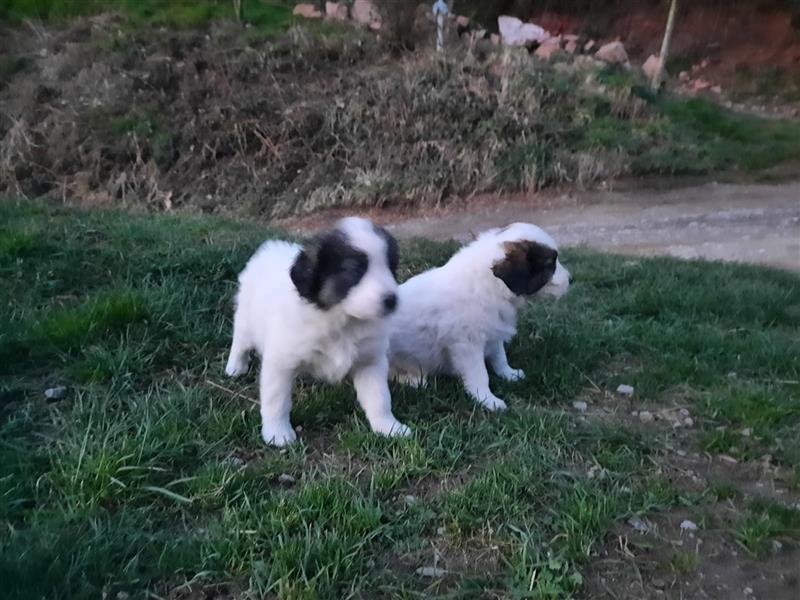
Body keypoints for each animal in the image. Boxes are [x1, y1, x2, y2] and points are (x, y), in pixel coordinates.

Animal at [227, 216, 410, 446]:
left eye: (391, 267)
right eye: (355, 270)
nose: (392, 300)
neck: (343, 321)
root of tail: (270, 248)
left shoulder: (370, 361)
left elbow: (380, 398)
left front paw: (389, 427)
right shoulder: (280, 362)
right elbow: (276, 401)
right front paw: (277, 433)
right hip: (245, 318)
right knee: (240, 342)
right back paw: (235, 367)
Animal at [390, 224, 572, 412]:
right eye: (550, 265)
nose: (571, 280)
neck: (491, 285)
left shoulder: (493, 330)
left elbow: (500, 356)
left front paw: (508, 373)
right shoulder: (467, 344)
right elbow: (479, 374)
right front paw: (487, 399)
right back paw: (413, 380)